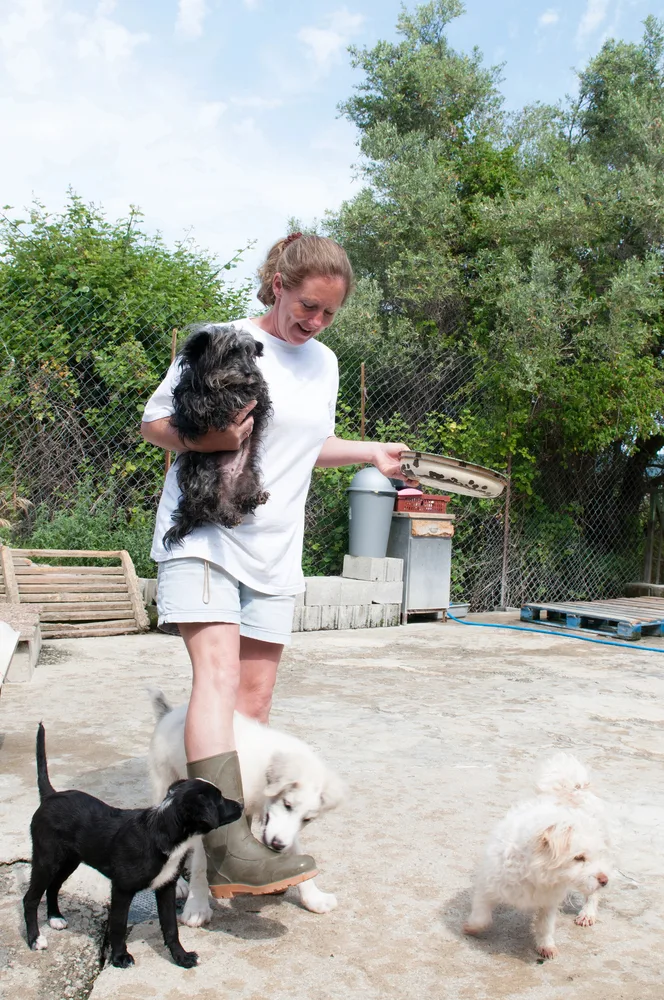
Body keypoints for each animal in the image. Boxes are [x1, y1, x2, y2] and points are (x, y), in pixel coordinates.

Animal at [24, 728, 241, 968]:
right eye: (219, 800)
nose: (241, 805)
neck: (161, 830)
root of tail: (51, 795)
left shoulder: (165, 887)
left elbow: (171, 928)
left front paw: (181, 957)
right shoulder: (122, 889)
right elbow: (119, 925)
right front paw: (120, 957)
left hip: (68, 861)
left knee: (53, 887)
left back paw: (55, 918)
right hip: (45, 860)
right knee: (30, 899)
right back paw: (35, 939)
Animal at [145, 692, 342, 924]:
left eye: (307, 820)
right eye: (287, 804)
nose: (277, 845)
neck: (262, 776)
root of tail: (170, 713)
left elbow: (296, 850)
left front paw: (314, 897)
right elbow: (201, 866)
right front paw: (196, 908)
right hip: (163, 784)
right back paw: (179, 885)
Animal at [163, 324, 272, 548]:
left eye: (248, 354)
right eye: (229, 353)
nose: (249, 372)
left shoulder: (260, 402)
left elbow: (255, 391)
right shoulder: (191, 407)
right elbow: (208, 400)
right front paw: (222, 398)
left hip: (250, 475)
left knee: (241, 501)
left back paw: (253, 498)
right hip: (205, 477)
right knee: (211, 506)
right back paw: (227, 515)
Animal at [462, 752, 612, 956]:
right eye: (579, 858)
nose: (605, 880)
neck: (532, 872)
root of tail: (574, 788)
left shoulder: (549, 900)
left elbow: (545, 925)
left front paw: (546, 945)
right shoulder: (487, 884)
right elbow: (481, 916)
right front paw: (472, 928)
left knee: (593, 895)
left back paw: (587, 913)